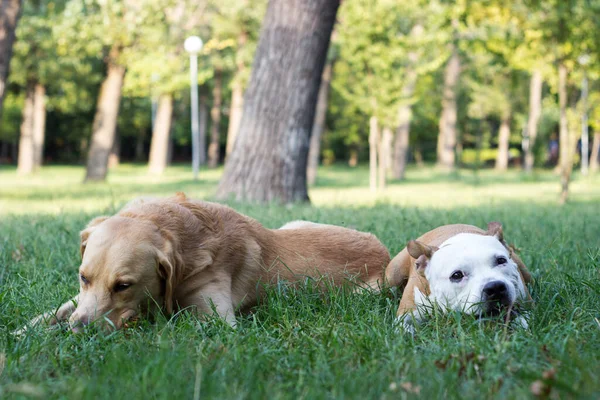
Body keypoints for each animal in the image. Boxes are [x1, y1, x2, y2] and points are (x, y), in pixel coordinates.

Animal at [21, 193, 390, 332]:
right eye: (83, 278)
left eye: (123, 286)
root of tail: (383, 249)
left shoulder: (216, 319)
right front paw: (27, 330)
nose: (79, 330)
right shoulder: (79, 297)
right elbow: (55, 310)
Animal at [386, 222, 532, 332]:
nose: (495, 287)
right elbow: (403, 326)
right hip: (392, 277)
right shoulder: (408, 311)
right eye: (457, 275)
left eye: (501, 260)